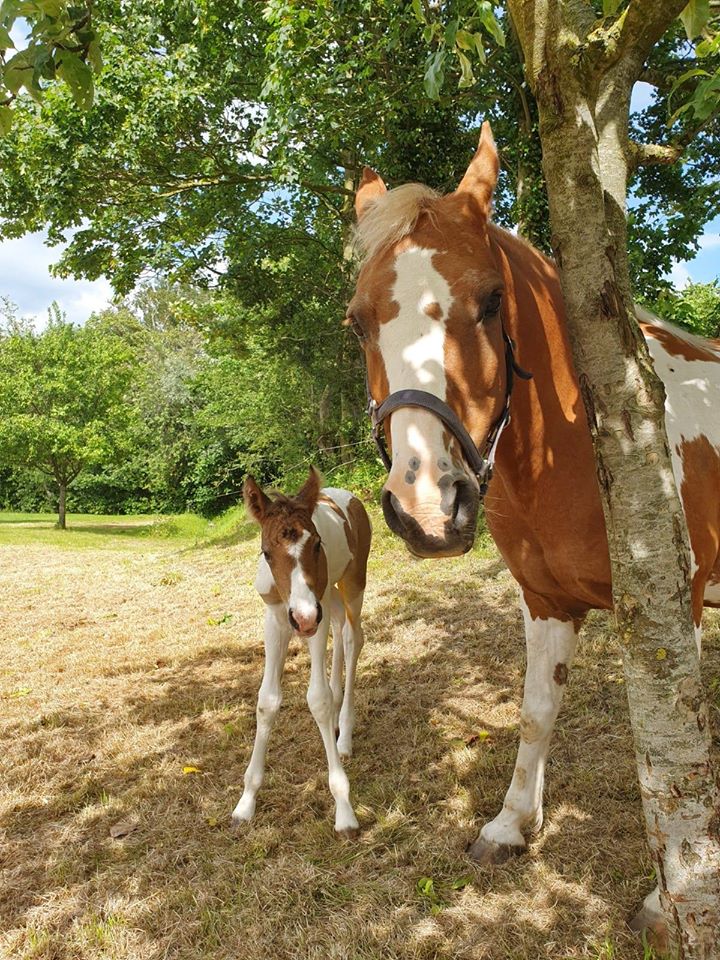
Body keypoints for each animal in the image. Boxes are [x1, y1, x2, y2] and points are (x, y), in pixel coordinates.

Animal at [232, 468, 372, 836]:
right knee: (338, 622)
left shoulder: (313, 611)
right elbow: (267, 701)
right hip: (328, 598)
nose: (304, 618)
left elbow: (317, 700)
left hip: (352, 582)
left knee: (351, 637)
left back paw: (344, 734)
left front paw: (344, 809)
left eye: (318, 544)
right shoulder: (277, 618)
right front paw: (245, 802)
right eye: (266, 552)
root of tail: (346, 493)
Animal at [348, 124, 720, 940]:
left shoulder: (673, 609)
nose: (427, 507)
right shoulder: (545, 600)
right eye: (357, 321)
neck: (597, 434)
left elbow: (675, 747)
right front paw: (511, 825)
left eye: (491, 301)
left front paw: (672, 894)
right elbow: (535, 711)